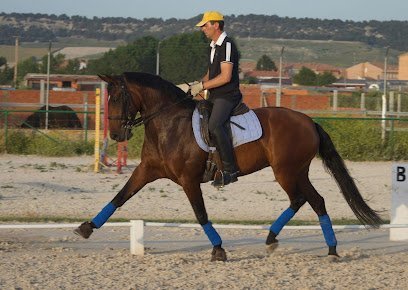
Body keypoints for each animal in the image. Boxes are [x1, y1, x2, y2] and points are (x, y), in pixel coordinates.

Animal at [75, 72, 384, 260]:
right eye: (109, 98)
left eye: (119, 97)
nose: (117, 135)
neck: (168, 123)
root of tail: (308, 121)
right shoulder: (146, 171)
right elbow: (119, 197)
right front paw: (86, 227)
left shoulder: (188, 179)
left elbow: (200, 214)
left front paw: (219, 249)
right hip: (296, 171)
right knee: (312, 200)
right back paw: (314, 246)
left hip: (286, 170)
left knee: (303, 199)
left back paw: (298, 243)